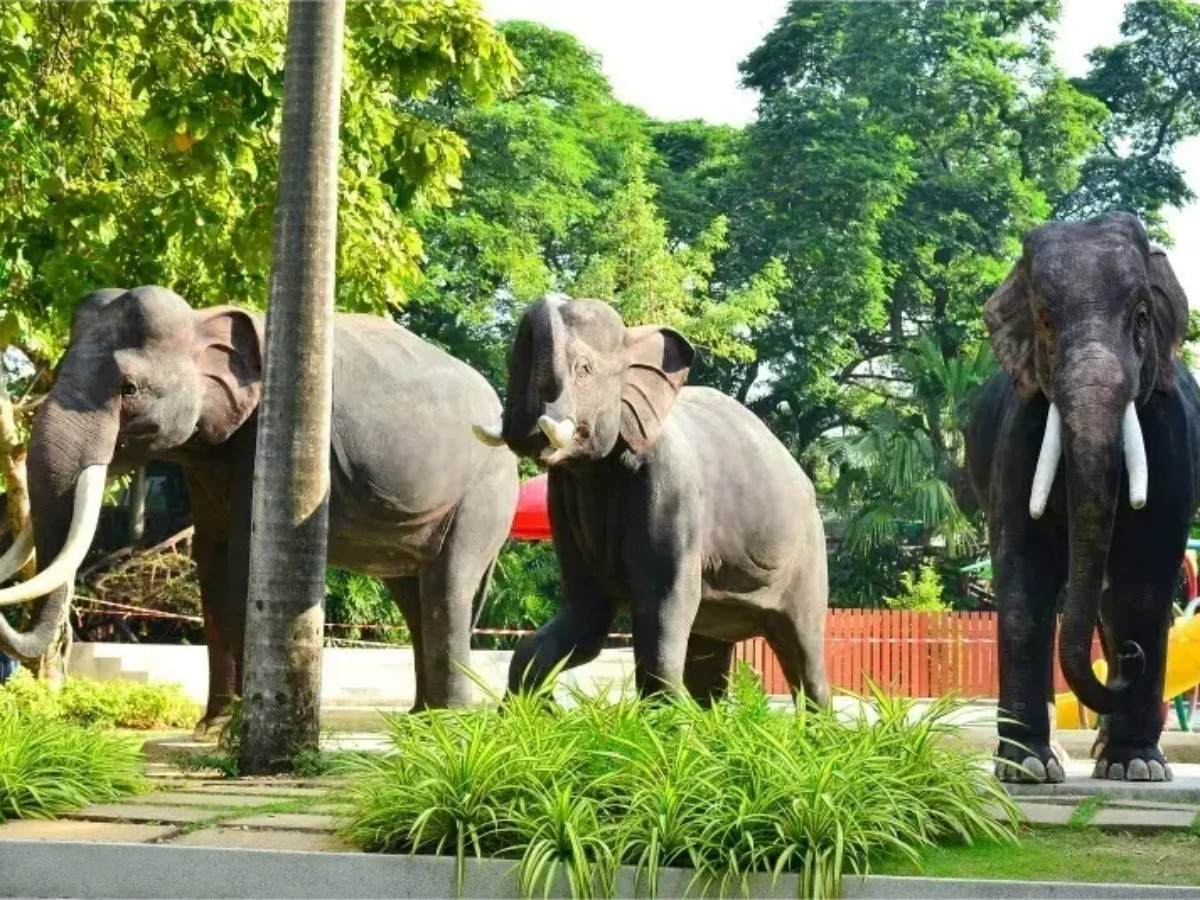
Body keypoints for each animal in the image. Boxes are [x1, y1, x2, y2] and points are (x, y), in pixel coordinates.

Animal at [0, 286, 518, 730]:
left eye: (129, 388)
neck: (204, 318)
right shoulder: (210, 456)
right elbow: (212, 558)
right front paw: (210, 728)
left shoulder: (268, 435)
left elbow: (245, 557)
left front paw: (228, 726)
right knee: (414, 593)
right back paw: (419, 720)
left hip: (488, 490)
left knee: (447, 584)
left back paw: (447, 722)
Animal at [472, 296, 830, 705]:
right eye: (510, 360)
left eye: (584, 369)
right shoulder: (561, 497)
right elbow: (585, 616)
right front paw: (530, 712)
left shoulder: (671, 486)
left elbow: (664, 601)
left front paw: (666, 719)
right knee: (710, 651)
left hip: (808, 560)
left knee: (802, 648)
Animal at [966, 212, 1199, 783]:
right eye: (1046, 321)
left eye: (1141, 316)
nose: (1133, 660)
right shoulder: (1019, 433)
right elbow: (1024, 569)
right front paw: (1026, 767)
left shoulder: (1169, 433)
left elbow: (1144, 573)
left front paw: (1137, 766)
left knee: (1114, 603)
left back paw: (1113, 756)